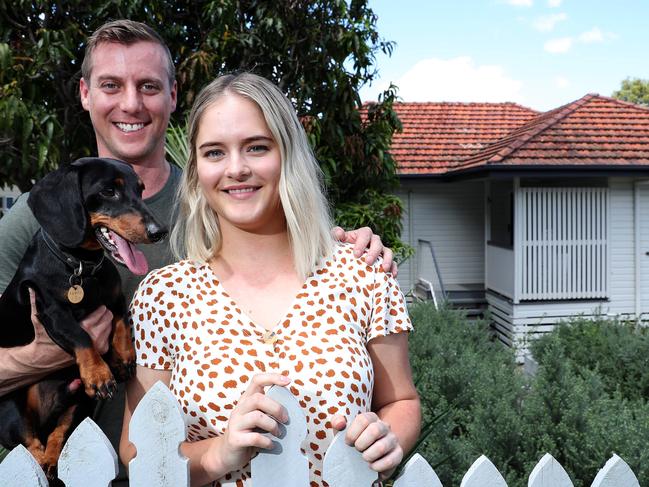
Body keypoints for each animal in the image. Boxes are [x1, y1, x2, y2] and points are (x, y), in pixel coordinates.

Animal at [0, 158, 166, 482]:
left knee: (57, 435)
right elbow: (81, 335)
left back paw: (52, 460)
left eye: (140, 189)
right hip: (10, 410)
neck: (80, 268)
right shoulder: (51, 313)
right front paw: (99, 373)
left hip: (80, 402)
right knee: (29, 443)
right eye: (108, 191)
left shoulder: (114, 298)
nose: (159, 231)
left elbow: (120, 320)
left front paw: (123, 358)